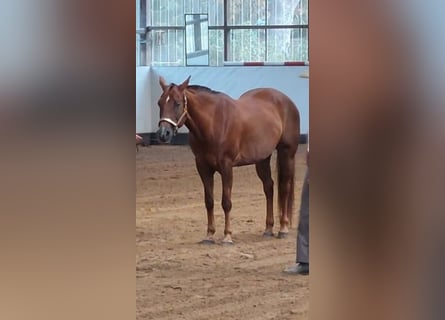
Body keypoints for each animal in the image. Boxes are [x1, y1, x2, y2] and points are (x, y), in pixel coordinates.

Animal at [156, 76, 298, 244]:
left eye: (177, 103)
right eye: (159, 102)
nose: (163, 134)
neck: (213, 123)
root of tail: (287, 101)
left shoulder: (226, 166)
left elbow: (226, 202)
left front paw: (227, 236)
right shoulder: (203, 167)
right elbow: (209, 201)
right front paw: (209, 235)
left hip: (287, 153)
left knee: (284, 188)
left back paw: (283, 228)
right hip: (262, 159)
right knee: (269, 187)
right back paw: (268, 229)